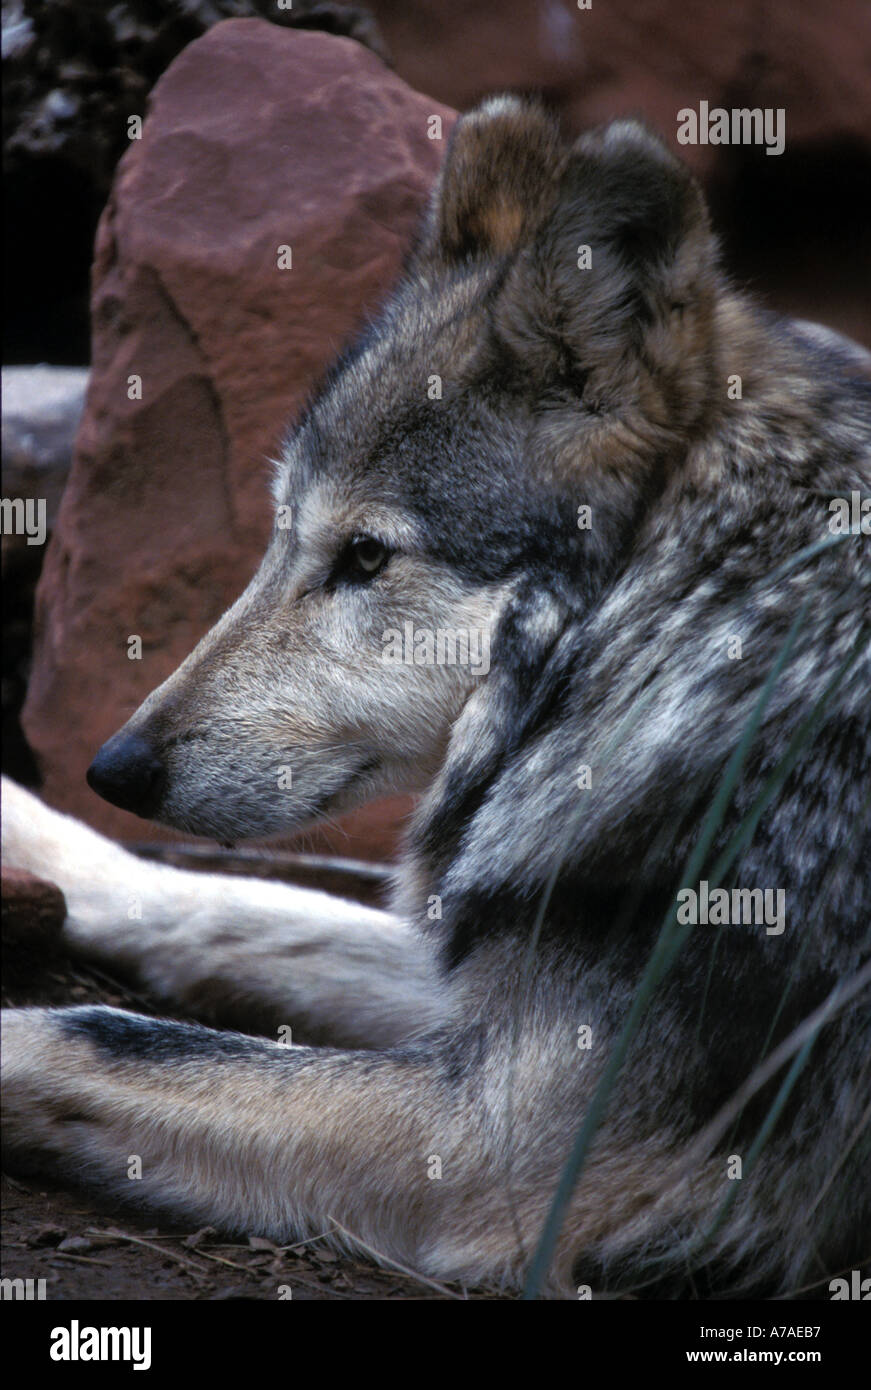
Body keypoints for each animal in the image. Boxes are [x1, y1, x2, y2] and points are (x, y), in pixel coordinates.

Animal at [1, 95, 871, 1289]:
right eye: (280, 534)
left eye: (365, 557)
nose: (115, 768)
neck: (697, 630)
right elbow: (232, 907)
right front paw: (37, 833)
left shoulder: (501, 1144)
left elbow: (100, 1031)